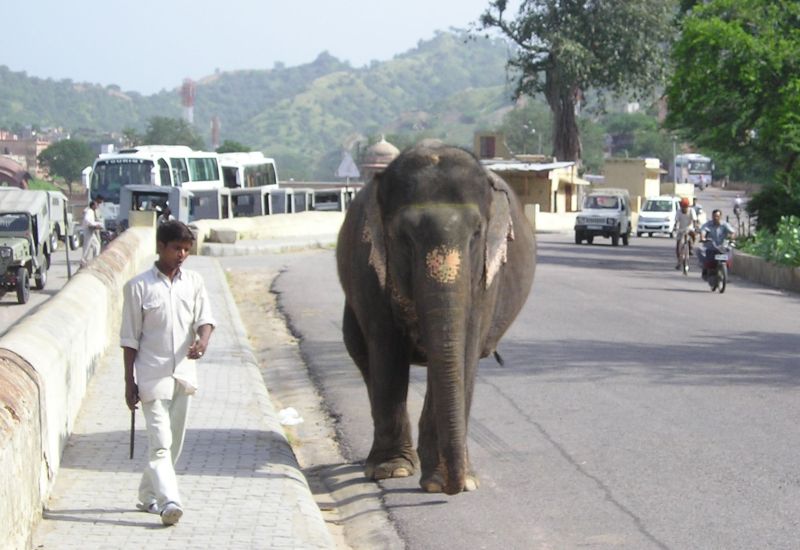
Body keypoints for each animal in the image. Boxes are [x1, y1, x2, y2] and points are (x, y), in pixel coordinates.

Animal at [334, 143, 536, 496]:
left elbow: (465, 351)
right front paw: (392, 471)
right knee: (364, 357)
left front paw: (451, 481)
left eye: (476, 233)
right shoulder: (369, 269)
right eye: (404, 237)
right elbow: (386, 350)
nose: (453, 487)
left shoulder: (487, 279)